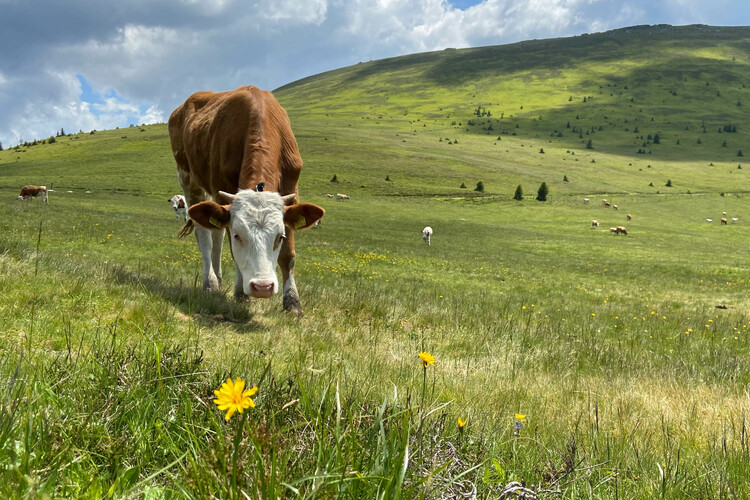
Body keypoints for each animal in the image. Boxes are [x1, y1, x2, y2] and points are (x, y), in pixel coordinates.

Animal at [169, 85, 324, 315]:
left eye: (280, 236)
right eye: (237, 235)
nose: (262, 287)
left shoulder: (291, 189)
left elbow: (288, 256)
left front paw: (292, 302)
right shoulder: (222, 191)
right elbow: (233, 252)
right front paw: (241, 294)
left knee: (216, 237)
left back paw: (219, 279)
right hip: (188, 179)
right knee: (205, 236)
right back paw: (210, 284)